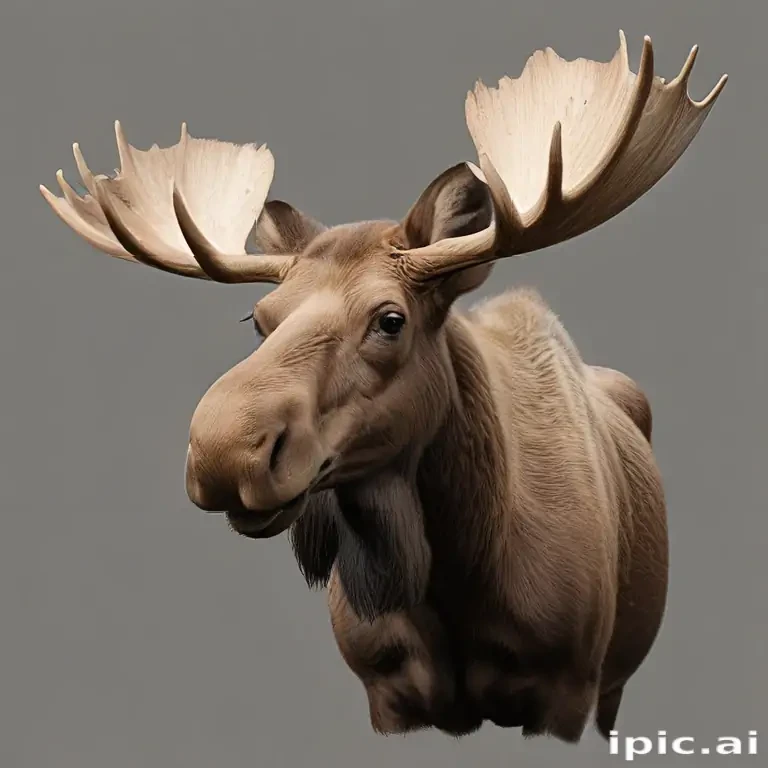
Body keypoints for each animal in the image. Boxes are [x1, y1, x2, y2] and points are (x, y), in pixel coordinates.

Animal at [40, 31, 726, 744]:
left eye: (390, 319)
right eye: (258, 318)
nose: (223, 453)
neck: (460, 575)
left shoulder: (568, 688)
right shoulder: (386, 693)